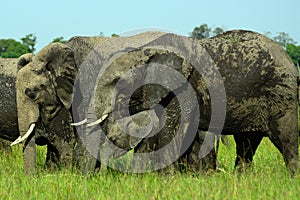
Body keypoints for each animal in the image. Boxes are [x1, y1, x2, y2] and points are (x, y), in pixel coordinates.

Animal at [15, 30, 298, 176]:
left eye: (31, 92)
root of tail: (286, 56)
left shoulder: (177, 87)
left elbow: (164, 131)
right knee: (246, 143)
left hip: (281, 93)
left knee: (286, 139)